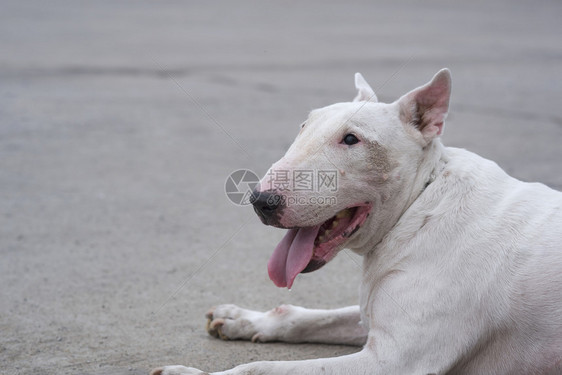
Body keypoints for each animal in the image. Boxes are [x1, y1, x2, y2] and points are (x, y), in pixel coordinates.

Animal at [151, 69, 556, 374]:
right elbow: (301, 316)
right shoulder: (371, 315)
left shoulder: (393, 362)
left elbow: (262, 368)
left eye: (351, 139)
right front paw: (242, 319)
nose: (261, 201)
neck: (418, 209)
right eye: (303, 126)